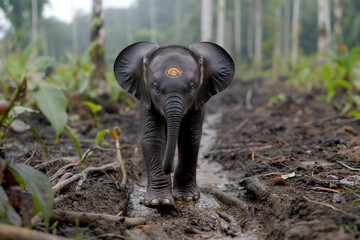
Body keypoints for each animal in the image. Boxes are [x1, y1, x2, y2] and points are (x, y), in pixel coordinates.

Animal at [114, 41, 235, 206]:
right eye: (155, 87)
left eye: (192, 87)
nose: (168, 169)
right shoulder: (148, 101)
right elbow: (153, 137)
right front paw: (159, 202)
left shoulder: (198, 101)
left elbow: (189, 137)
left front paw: (188, 198)